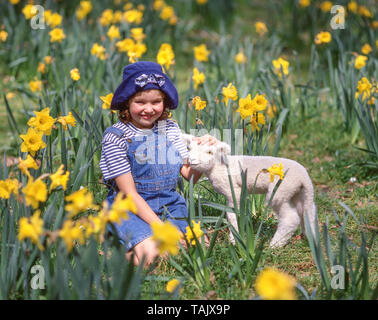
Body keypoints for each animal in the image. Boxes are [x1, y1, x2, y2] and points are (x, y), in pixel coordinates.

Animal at [182, 134, 318, 249]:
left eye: (210, 152)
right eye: (189, 149)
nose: (192, 160)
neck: (218, 167)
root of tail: (304, 176)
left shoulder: (233, 192)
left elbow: (233, 216)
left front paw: (235, 239)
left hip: (280, 192)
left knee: (290, 218)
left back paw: (275, 244)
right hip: (297, 193)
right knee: (305, 212)